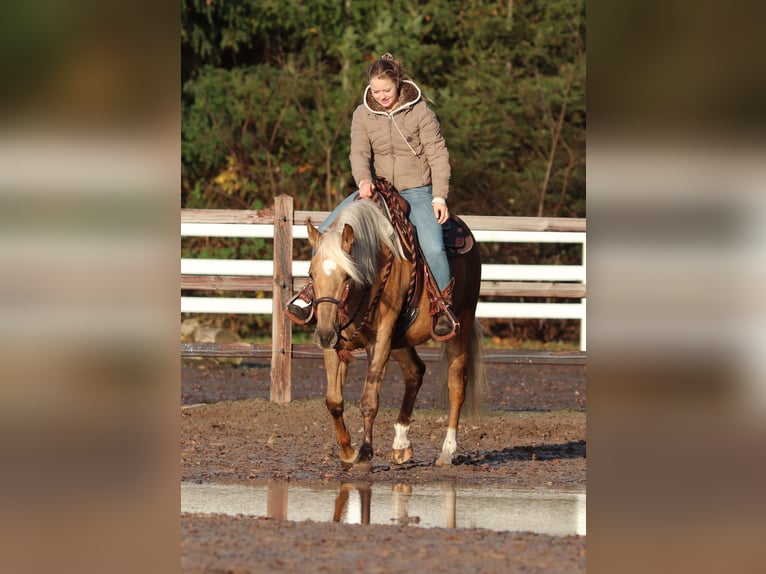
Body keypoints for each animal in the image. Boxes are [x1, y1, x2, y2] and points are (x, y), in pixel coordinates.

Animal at [304, 191, 486, 470]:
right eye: (312, 275)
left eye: (347, 277)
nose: (323, 335)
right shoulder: (336, 344)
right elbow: (334, 401)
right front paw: (347, 452)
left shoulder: (380, 339)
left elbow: (369, 400)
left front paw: (365, 453)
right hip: (400, 340)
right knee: (415, 372)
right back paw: (401, 444)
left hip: (460, 326)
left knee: (456, 385)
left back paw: (447, 451)